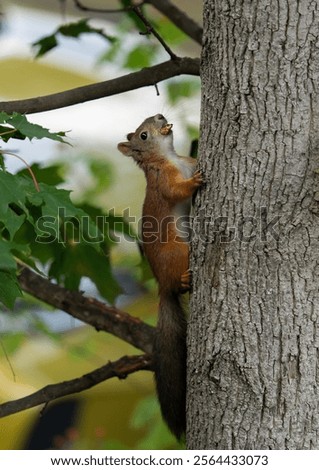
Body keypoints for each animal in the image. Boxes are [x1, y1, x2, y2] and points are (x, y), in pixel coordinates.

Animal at [117, 114, 202, 440]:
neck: (171, 157)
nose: (160, 117)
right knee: (179, 282)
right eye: (143, 135)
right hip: (179, 252)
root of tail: (162, 285)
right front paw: (194, 182)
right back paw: (185, 280)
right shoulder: (163, 181)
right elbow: (176, 191)